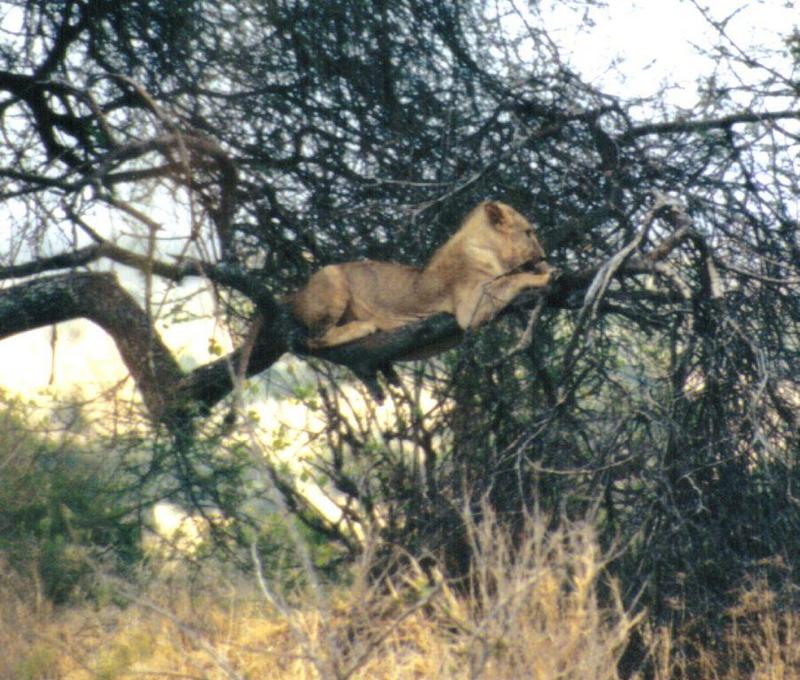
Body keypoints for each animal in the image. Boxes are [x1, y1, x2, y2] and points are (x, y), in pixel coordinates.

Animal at [290, 201, 556, 350]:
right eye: (529, 233)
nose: (544, 254)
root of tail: (294, 294)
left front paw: (546, 268)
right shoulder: (469, 307)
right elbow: (512, 279)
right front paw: (547, 275)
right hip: (330, 275)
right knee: (314, 339)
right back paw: (362, 327)